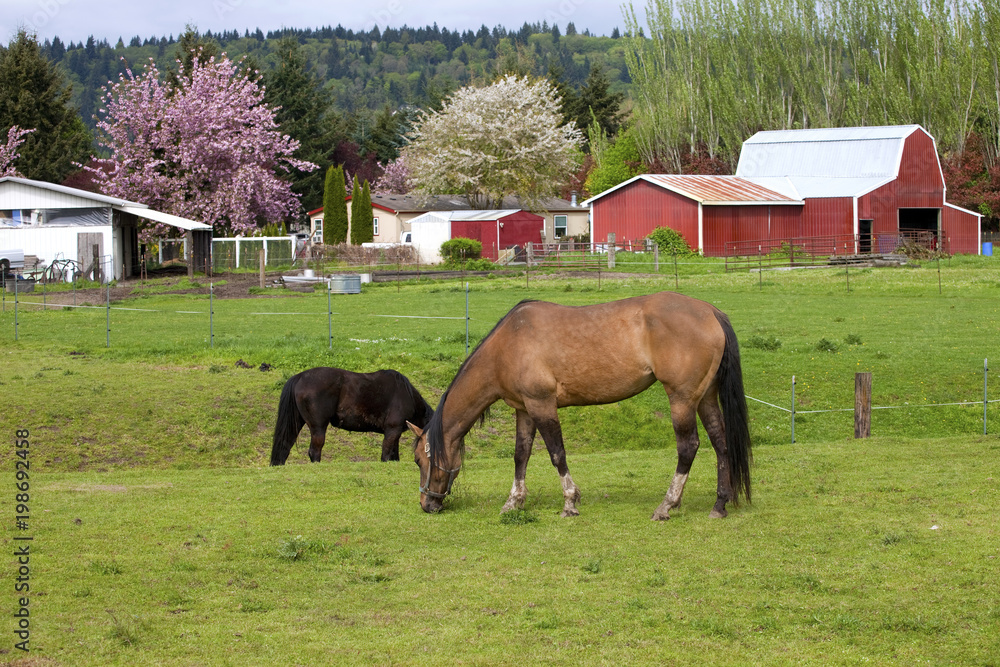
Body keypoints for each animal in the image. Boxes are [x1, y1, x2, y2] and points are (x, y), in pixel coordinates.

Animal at [271, 367, 434, 465]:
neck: (407, 395)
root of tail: (299, 377)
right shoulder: (392, 430)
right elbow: (386, 456)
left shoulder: (395, 433)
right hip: (318, 427)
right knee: (314, 451)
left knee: (285, 444)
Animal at [407, 291, 752, 520]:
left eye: (419, 460)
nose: (427, 504)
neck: (508, 345)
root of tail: (710, 311)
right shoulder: (524, 410)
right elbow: (520, 455)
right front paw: (514, 501)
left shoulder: (542, 405)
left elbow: (557, 454)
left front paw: (570, 502)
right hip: (705, 397)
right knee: (721, 444)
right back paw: (720, 504)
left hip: (682, 398)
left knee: (688, 447)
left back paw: (667, 505)